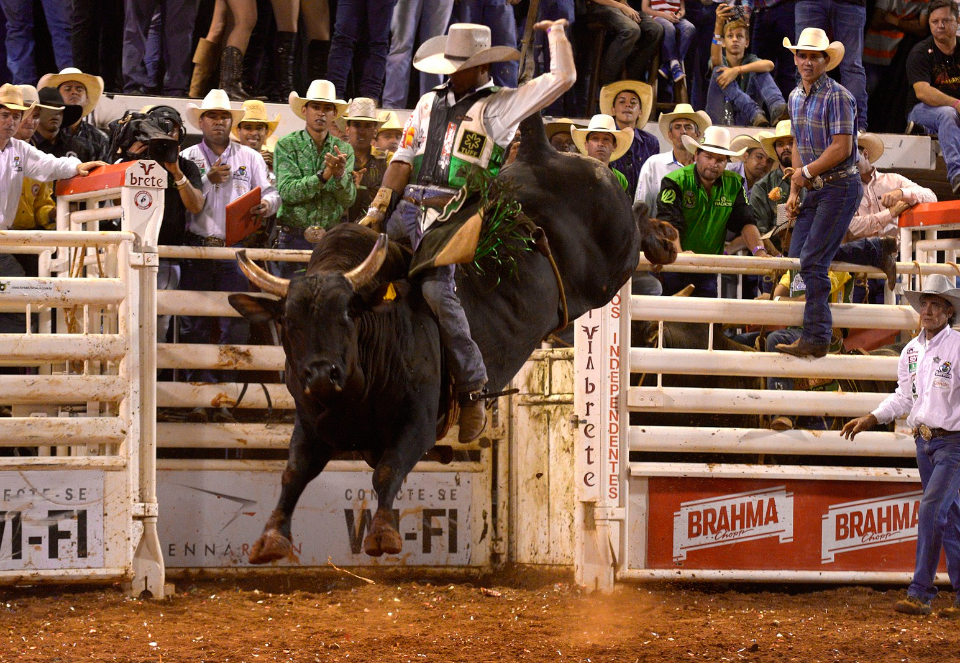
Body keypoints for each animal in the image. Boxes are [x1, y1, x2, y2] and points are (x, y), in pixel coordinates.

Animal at [227, 114, 676, 560]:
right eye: (289, 323)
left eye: (348, 316)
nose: (322, 374)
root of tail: (540, 154)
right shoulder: (311, 425)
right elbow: (292, 473)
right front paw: (271, 537)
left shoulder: (420, 421)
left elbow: (388, 470)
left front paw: (383, 532)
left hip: (614, 261)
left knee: (636, 220)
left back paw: (662, 237)